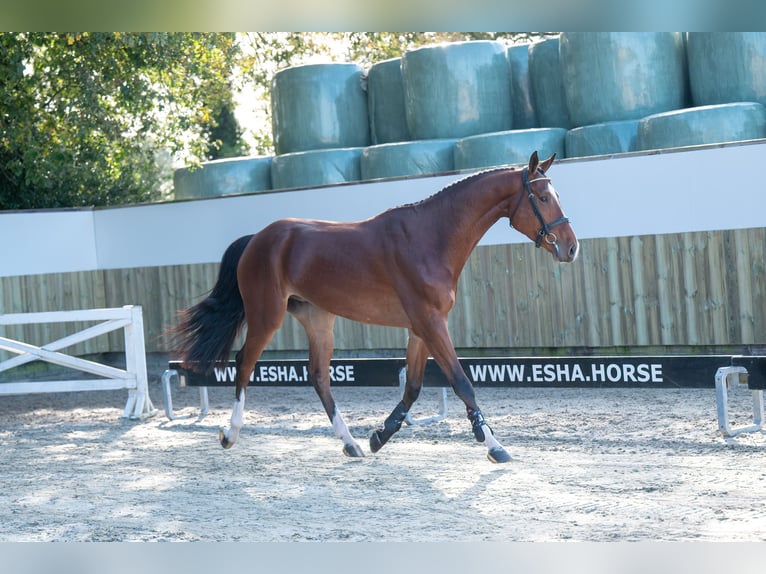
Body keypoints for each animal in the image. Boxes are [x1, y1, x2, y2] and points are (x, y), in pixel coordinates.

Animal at [171, 152, 580, 464]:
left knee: (318, 376)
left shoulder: (421, 328)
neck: (431, 237)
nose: (571, 247)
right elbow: (462, 382)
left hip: (318, 318)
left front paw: (379, 436)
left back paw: (351, 443)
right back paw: (230, 434)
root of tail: (258, 238)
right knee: (244, 363)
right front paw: (494, 445)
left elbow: (413, 386)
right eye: (543, 198)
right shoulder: (431, 323)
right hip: (265, 316)